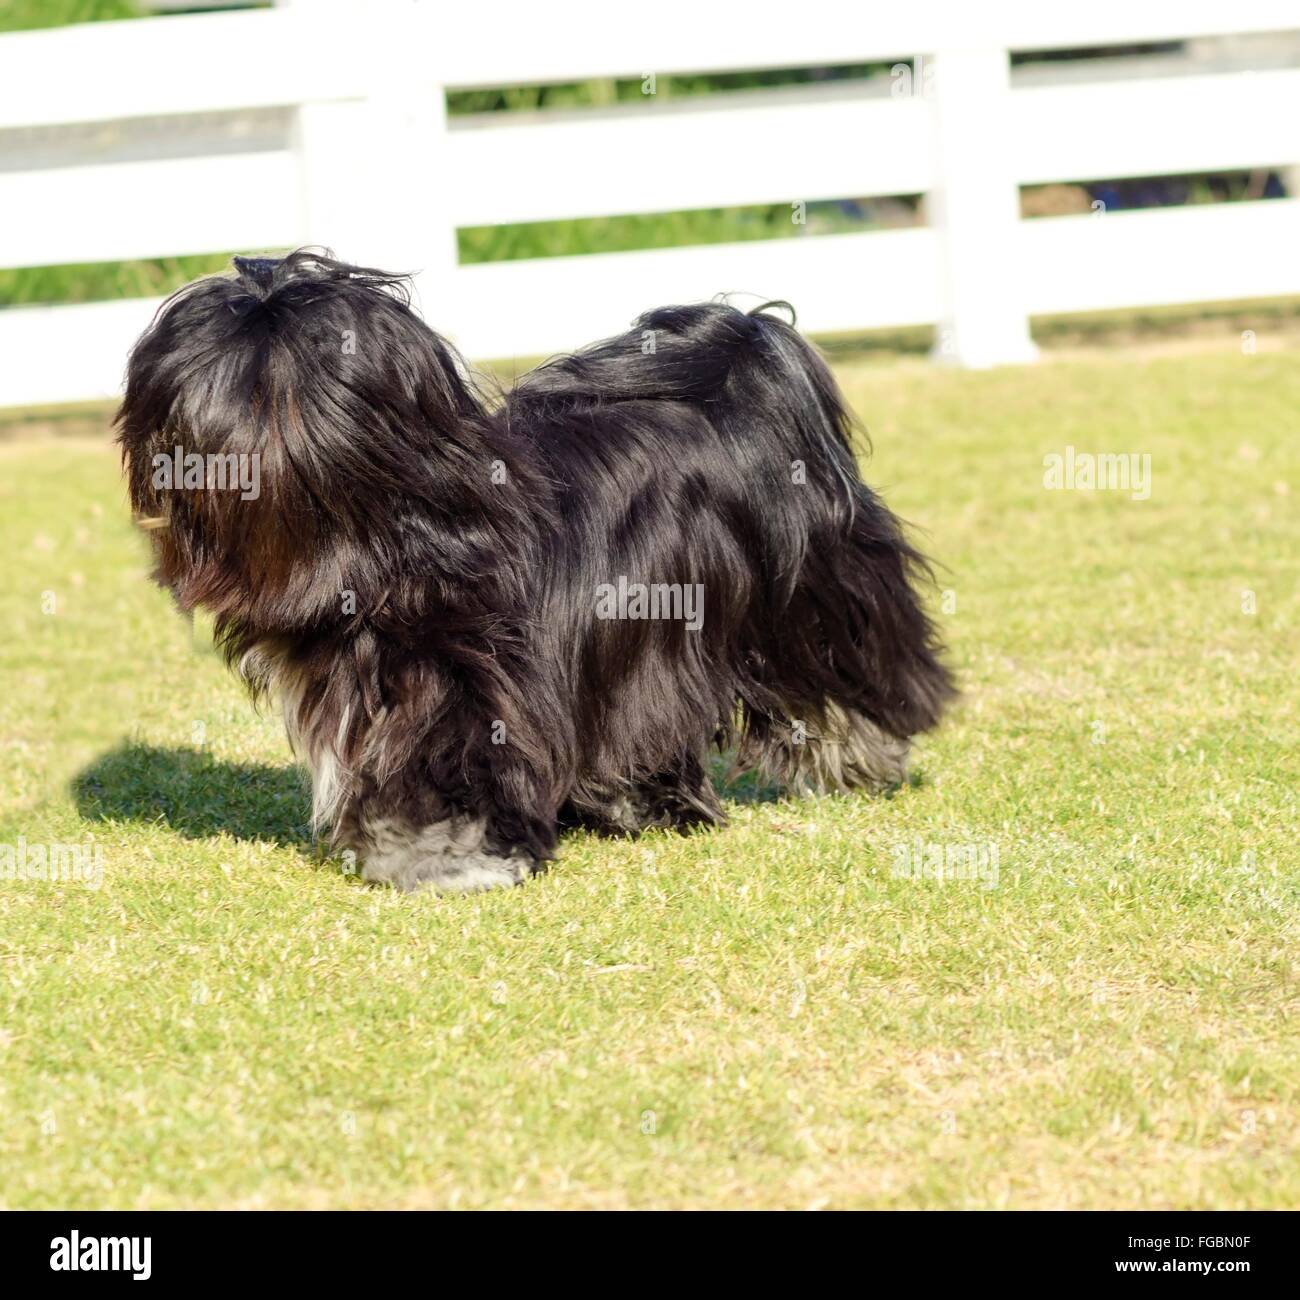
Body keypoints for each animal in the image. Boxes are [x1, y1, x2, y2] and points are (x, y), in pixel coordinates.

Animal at [119, 248, 956, 889]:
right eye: (187, 363)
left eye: (266, 376)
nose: (176, 428)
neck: (385, 543)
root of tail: (741, 356)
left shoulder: (469, 690)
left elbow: (452, 767)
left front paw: (447, 854)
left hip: (810, 600)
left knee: (851, 674)